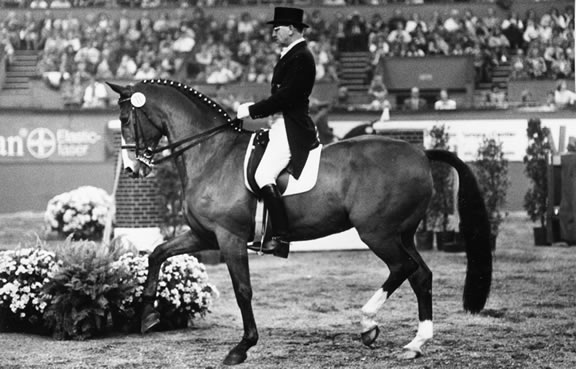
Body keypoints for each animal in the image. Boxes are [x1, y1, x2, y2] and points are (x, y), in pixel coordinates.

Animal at [107, 80, 490, 366]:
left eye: (125, 118)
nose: (131, 168)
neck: (212, 153)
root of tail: (420, 153)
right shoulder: (205, 235)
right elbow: (157, 253)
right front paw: (148, 315)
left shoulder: (229, 237)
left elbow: (243, 290)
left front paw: (242, 347)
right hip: (403, 233)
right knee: (421, 275)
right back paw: (415, 343)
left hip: (377, 232)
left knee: (402, 269)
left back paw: (369, 323)